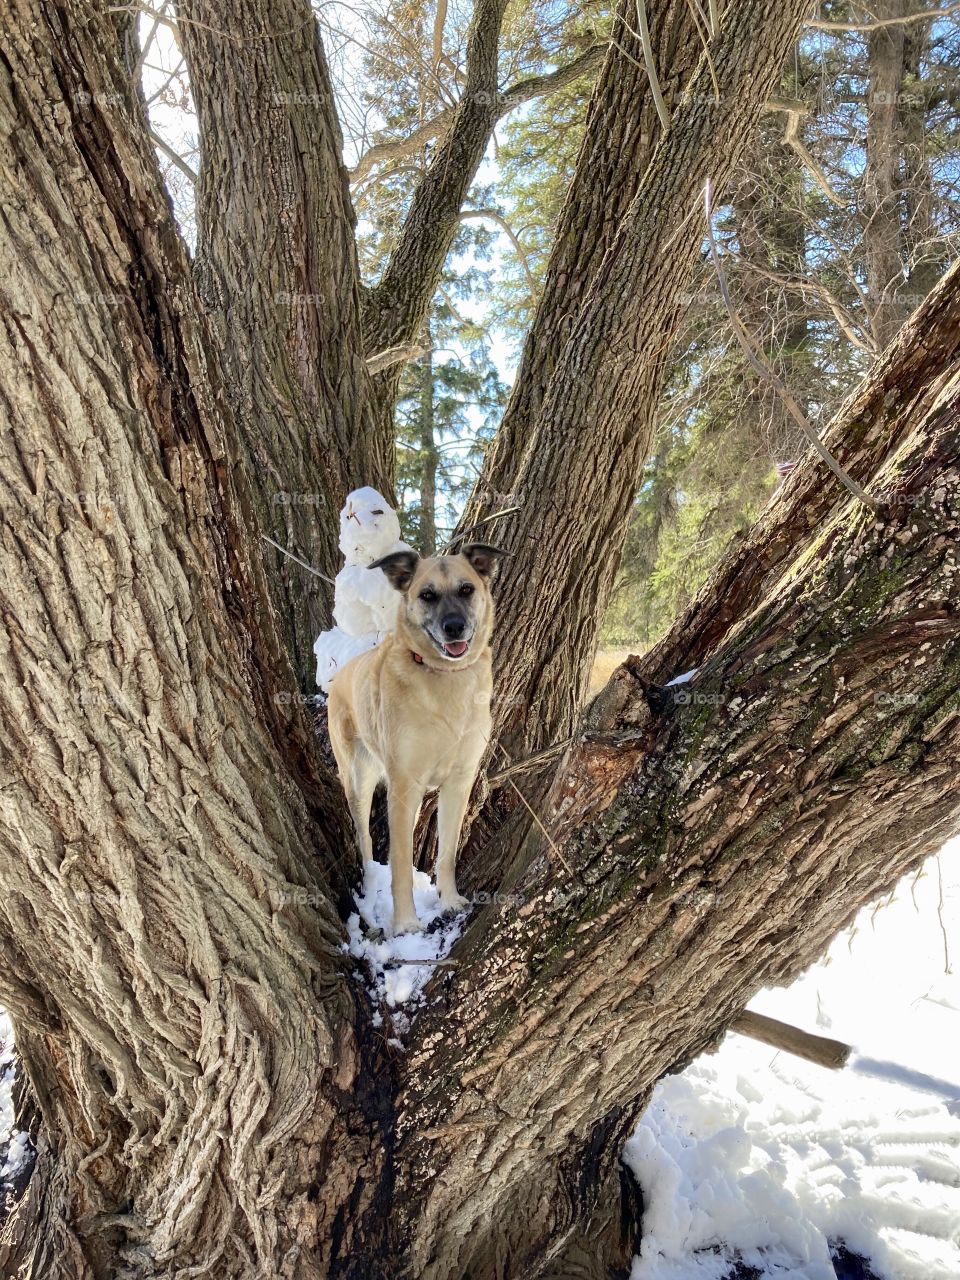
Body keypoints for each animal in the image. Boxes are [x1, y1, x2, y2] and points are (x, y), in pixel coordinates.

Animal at [327, 545, 506, 936]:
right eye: (427, 595)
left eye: (467, 589)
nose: (454, 627)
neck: (445, 677)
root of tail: (341, 673)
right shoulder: (404, 783)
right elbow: (399, 867)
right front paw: (406, 923)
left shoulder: (459, 782)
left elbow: (448, 852)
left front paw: (450, 900)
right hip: (360, 780)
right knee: (366, 842)